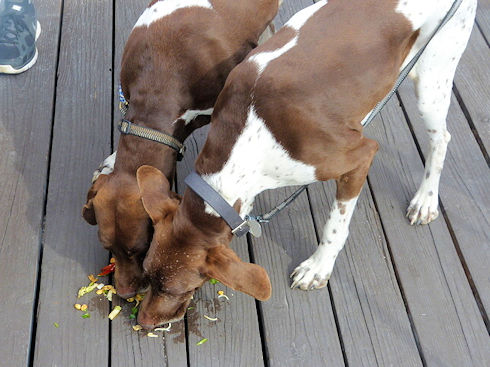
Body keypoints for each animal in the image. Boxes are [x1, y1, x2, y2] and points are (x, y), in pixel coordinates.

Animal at [133, 0, 474, 330]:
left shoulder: (360, 156)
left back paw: (425, 200)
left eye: (179, 289)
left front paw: (318, 267)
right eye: (146, 274)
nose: (142, 321)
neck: (251, 135)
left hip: (432, 82)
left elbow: (335, 226)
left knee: (441, 138)